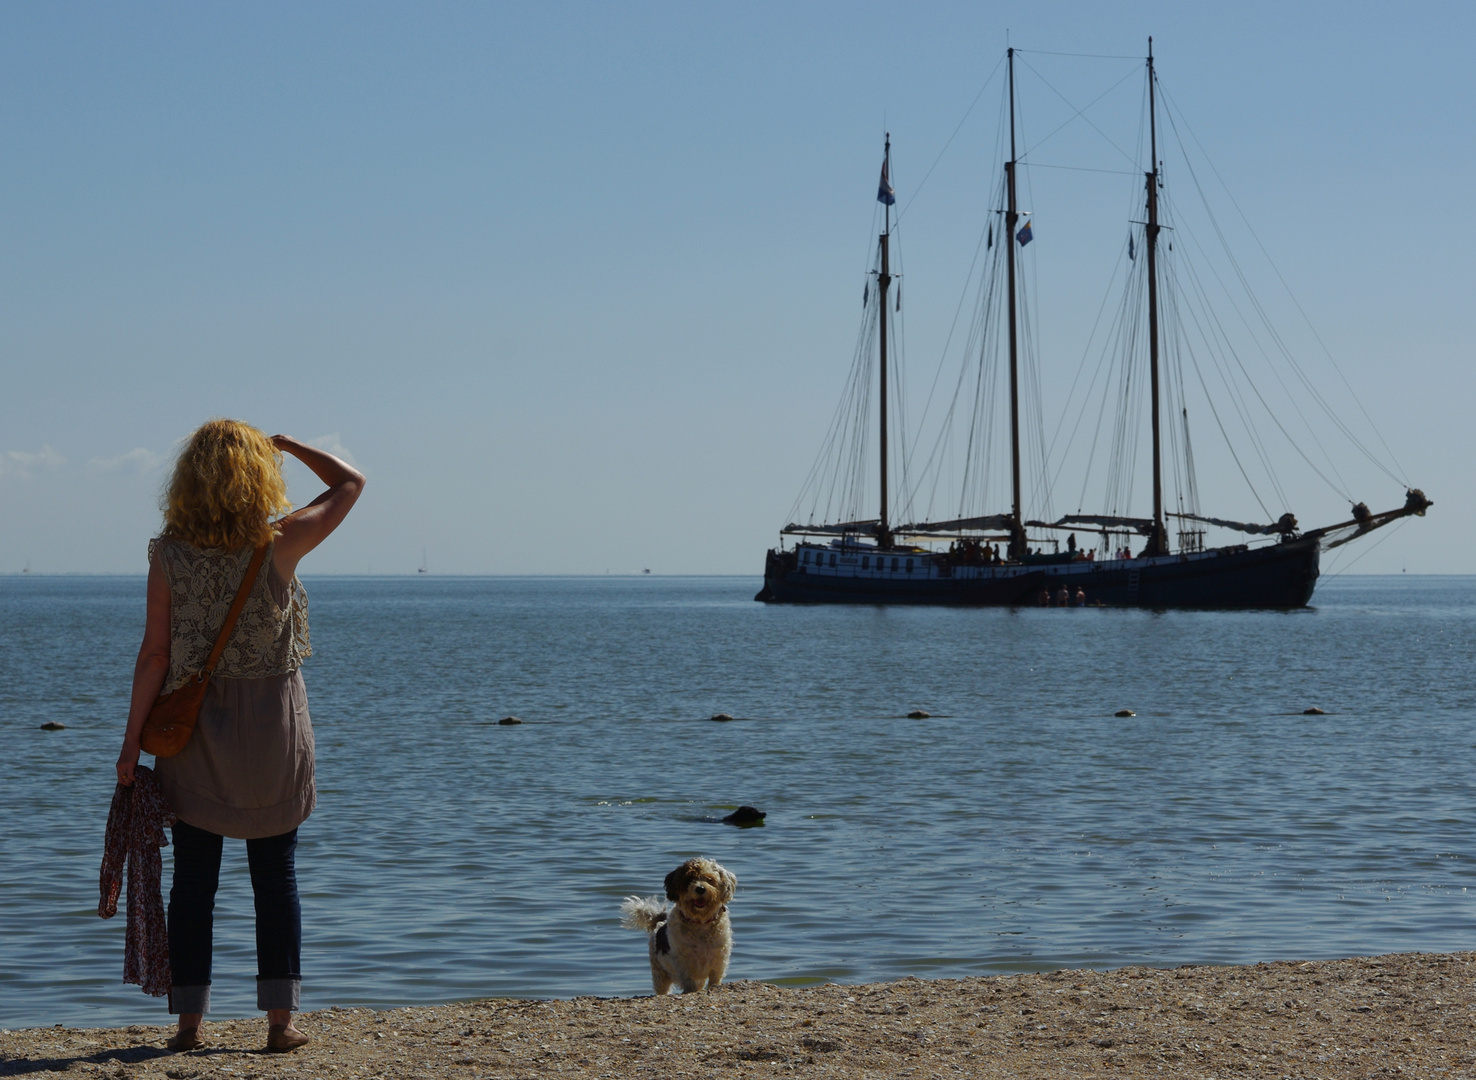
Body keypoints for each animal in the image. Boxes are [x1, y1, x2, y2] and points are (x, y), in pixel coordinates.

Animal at [619, 861, 738, 997]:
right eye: (689, 879)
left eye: (710, 879)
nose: (700, 888)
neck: (700, 922)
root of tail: (660, 922)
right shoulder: (683, 962)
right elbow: (688, 980)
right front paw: (690, 990)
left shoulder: (719, 959)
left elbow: (715, 978)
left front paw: (714, 987)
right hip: (659, 973)